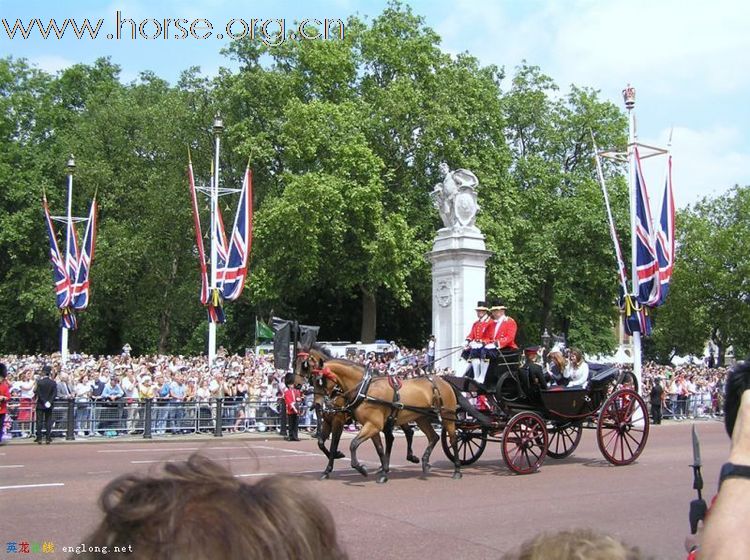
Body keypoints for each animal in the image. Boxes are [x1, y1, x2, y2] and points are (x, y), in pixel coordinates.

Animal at [296, 344, 462, 484]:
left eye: (321, 380)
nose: (318, 404)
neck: (364, 389)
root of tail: (443, 380)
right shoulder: (368, 425)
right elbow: (378, 448)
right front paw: (383, 472)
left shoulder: (363, 423)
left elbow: (350, 444)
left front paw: (360, 468)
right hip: (420, 418)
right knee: (431, 437)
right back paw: (425, 462)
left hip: (447, 417)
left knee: (453, 439)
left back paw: (457, 469)